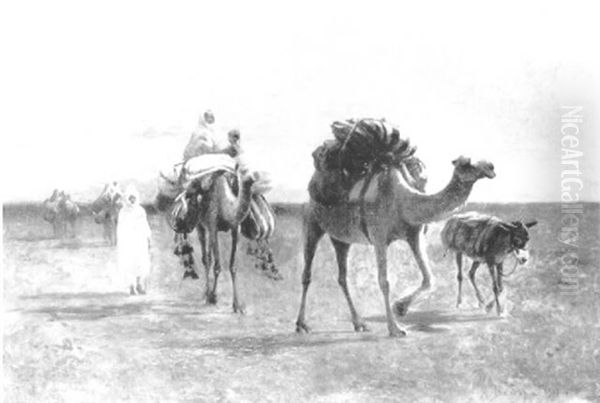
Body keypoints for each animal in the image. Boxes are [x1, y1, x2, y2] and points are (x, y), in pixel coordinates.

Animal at [296, 155, 496, 338]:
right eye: (468, 164)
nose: (491, 167)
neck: (403, 200)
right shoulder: (379, 237)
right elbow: (384, 281)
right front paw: (395, 328)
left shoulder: (414, 235)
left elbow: (429, 278)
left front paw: (400, 307)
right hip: (312, 223)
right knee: (306, 274)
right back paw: (301, 325)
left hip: (341, 239)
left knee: (342, 277)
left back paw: (359, 323)